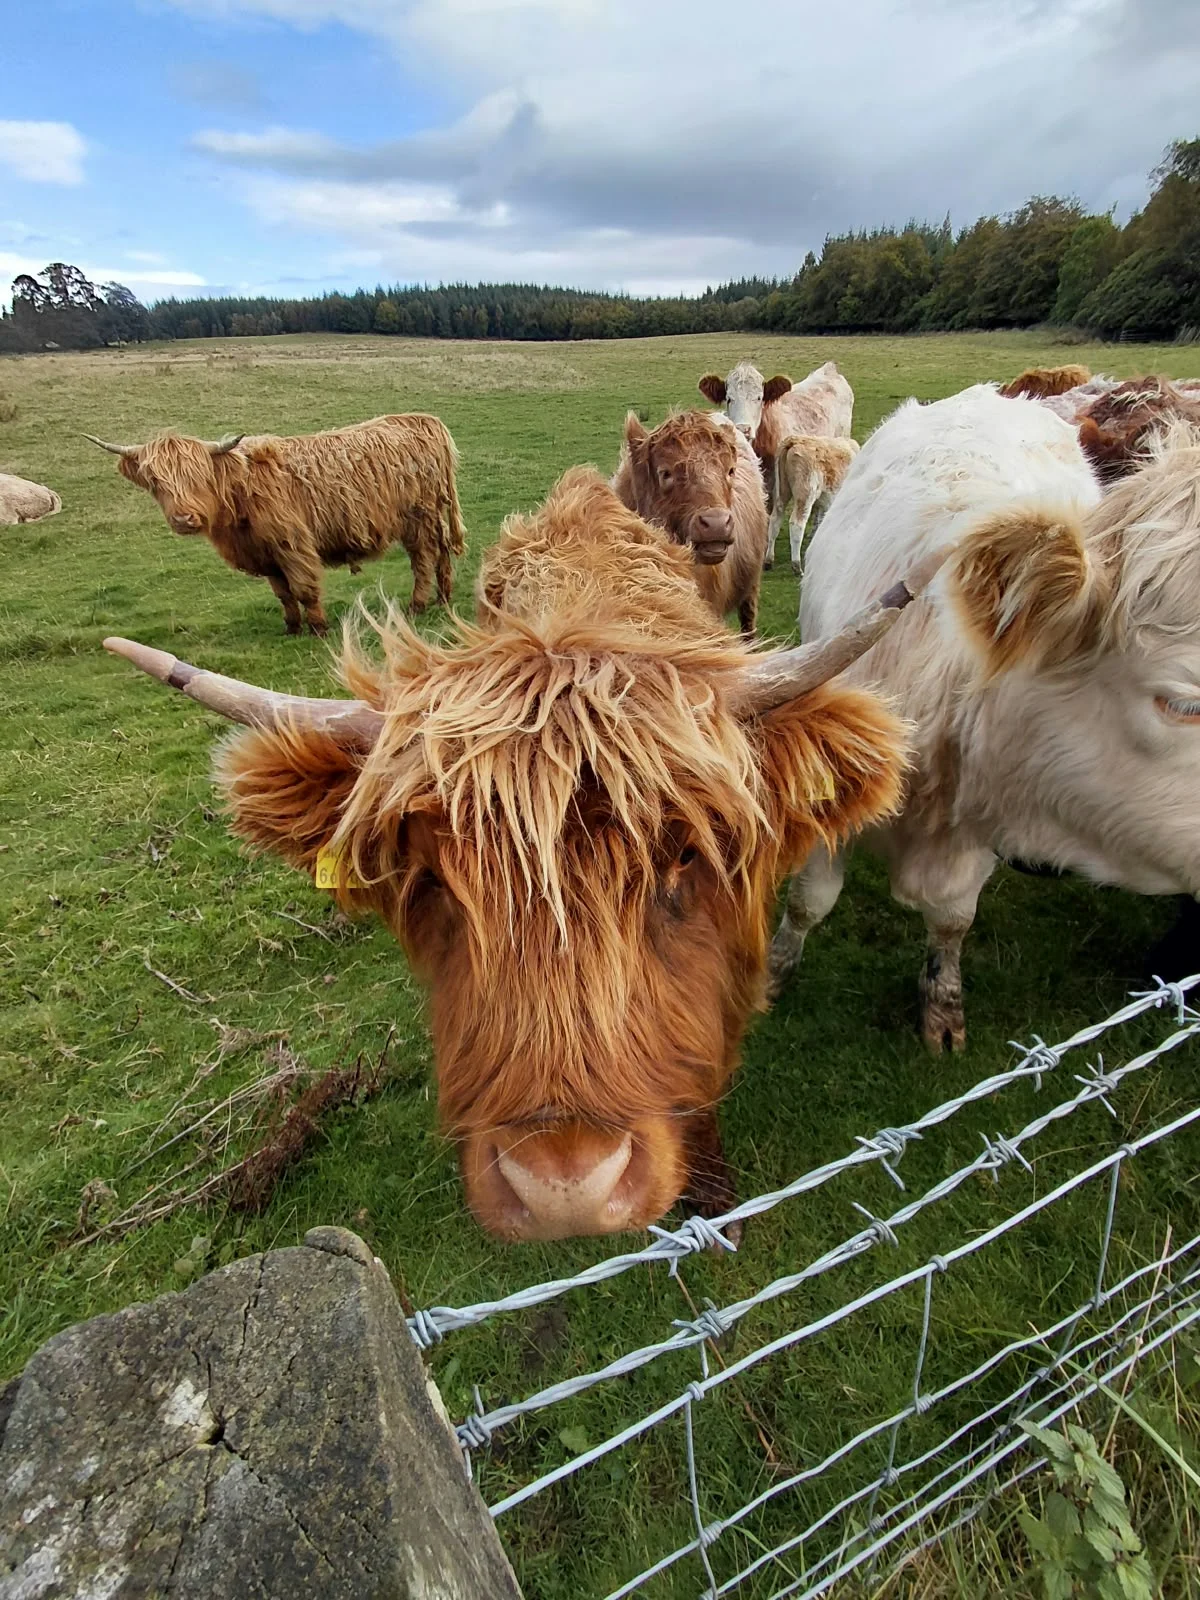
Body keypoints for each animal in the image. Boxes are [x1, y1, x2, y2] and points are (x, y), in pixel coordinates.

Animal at [85, 415, 466, 635]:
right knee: (442, 554)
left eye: (199, 476)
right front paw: (292, 627)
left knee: (423, 558)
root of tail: (421, 420)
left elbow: (304, 589)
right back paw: (443, 597)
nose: (184, 518)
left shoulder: (292, 544)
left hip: (418, 517)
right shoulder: (264, 555)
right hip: (433, 517)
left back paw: (417, 604)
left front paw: (319, 628)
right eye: (154, 481)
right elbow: (283, 594)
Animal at [771, 434, 860, 576]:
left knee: (775, 519)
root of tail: (794, 440)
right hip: (805, 493)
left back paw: (768, 561)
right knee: (797, 524)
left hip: (782, 492)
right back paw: (797, 567)